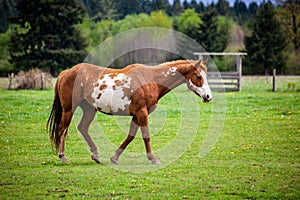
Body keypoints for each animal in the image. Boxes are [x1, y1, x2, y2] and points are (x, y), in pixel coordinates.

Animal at [47, 59, 212, 164]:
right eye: (198, 76)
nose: (208, 96)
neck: (150, 79)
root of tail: (67, 72)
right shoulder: (142, 113)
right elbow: (146, 136)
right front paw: (153, 159)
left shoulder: (137, 115)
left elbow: (130, 136)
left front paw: (115, 157)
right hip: (69, 109)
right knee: (62, 129)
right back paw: (63, 156)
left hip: (89, 110)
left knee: (82, 128)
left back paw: (95, 155)